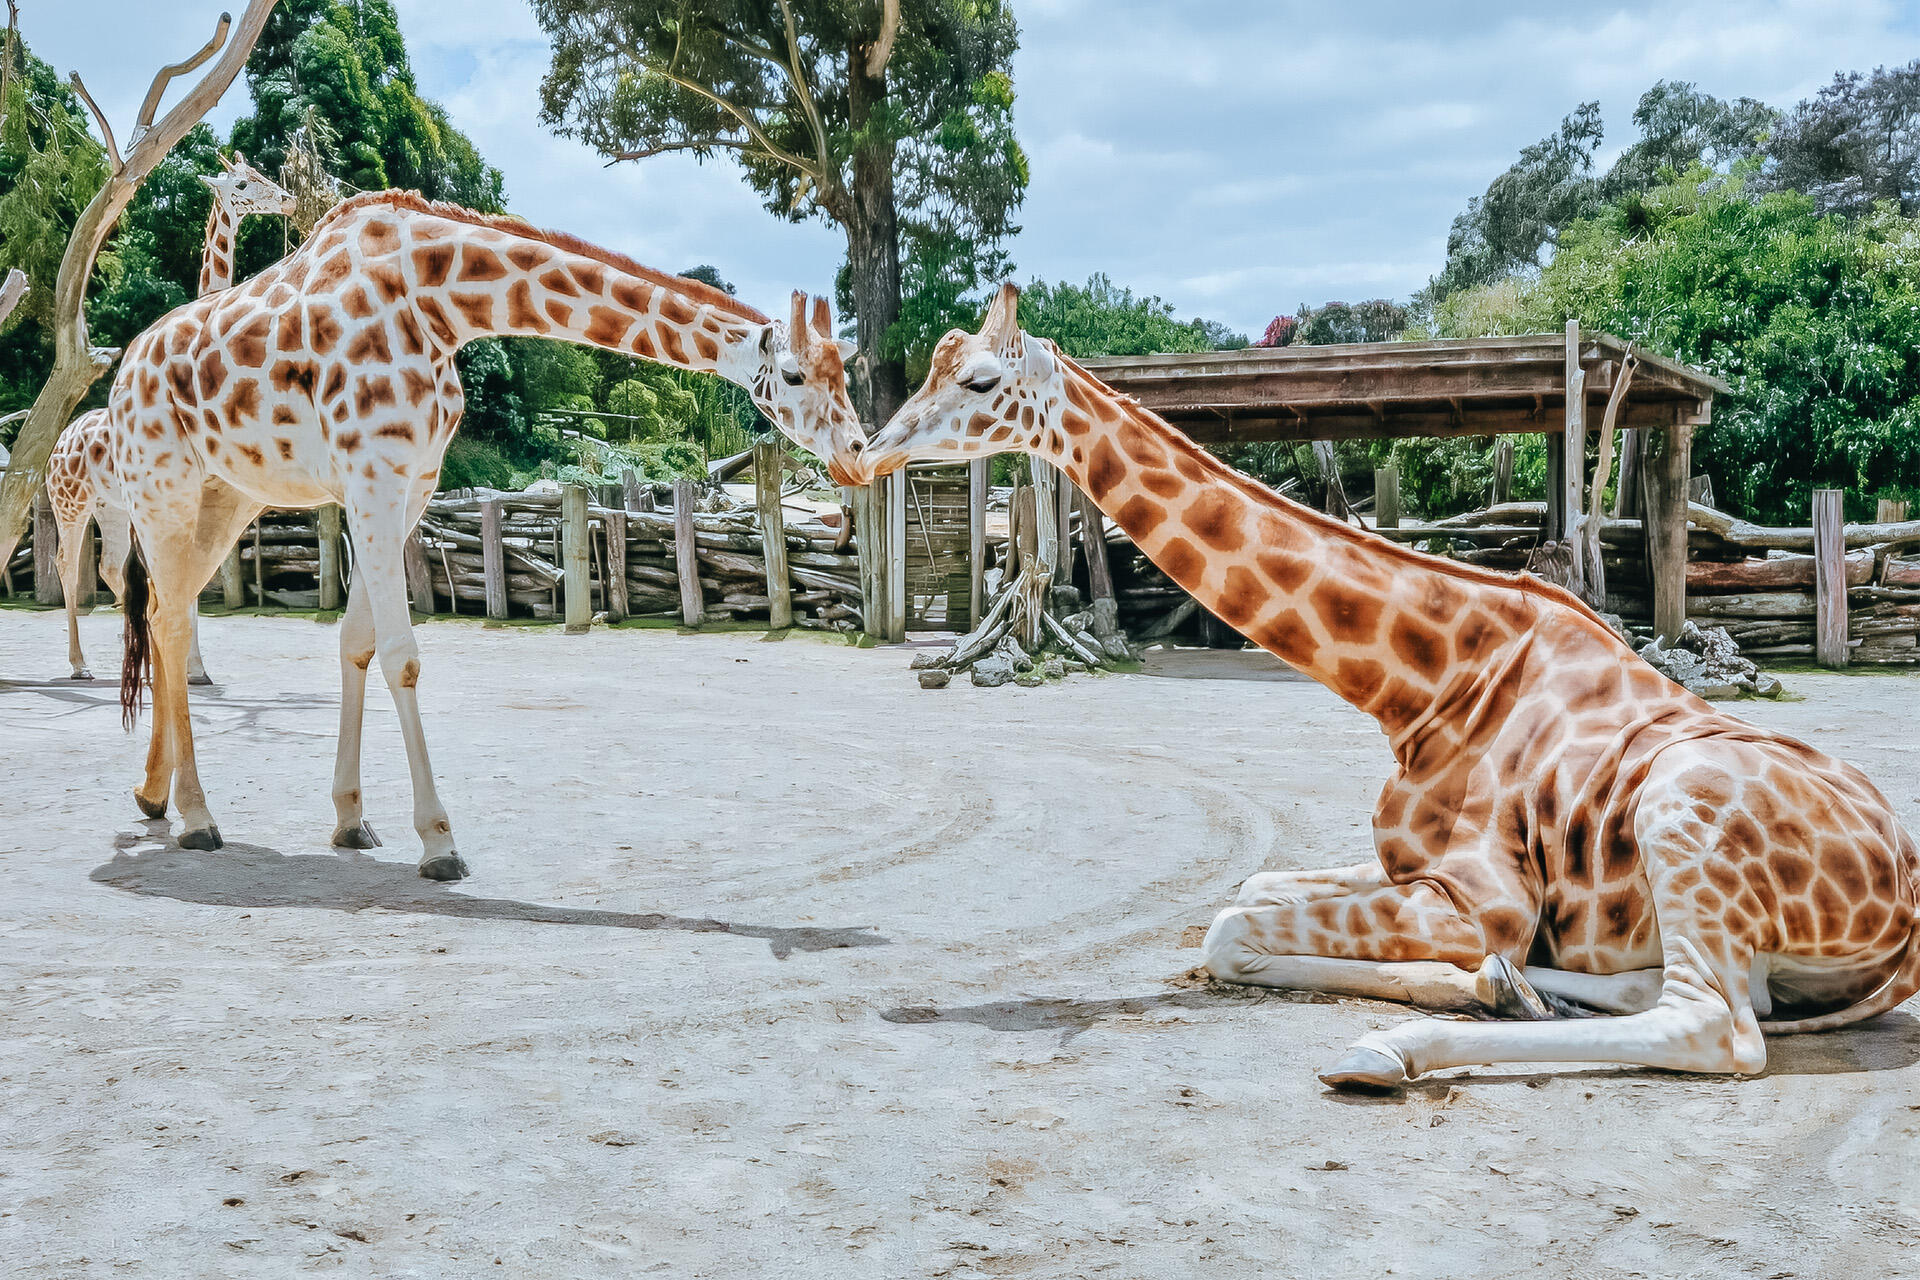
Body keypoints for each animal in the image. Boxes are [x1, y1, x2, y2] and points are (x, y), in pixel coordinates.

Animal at [45, 152, 294, 681]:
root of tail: (60, 443)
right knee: (66, 565)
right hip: (69, 504)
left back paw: (137, 661)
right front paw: (186, 668)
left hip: (111, 508)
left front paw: (193, 668)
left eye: (261, 174)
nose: (287, 199)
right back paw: (79, 664)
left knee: (111, 568)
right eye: (241, 184)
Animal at [108, 190, 864, 879]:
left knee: (167, 609)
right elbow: (401, 657)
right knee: (168, 619)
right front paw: (439, 842)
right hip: (161, 487)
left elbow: (357, 644)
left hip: (227, 496)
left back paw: (151, 795)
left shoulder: (409, 485)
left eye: (845, 372)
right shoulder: (373, 476)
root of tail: (120, 377)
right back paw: (197, 818)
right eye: (794, 374)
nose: (858, 454)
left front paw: (351, 820)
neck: (438, 303)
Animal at [851, 284, 1920, 1089]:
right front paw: (1489, 983)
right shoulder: (1412, 871)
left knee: (1715, 1026)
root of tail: (1904, 920)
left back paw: (1391, 1049)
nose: (869, 450)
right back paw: (1515, 990)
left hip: (1680, 803)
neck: (1427, 681)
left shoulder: (1483, 899)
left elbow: (1232, 922)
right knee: (1702, 995)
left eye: (979, 379)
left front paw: (1464, 989)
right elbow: (1245, 898)